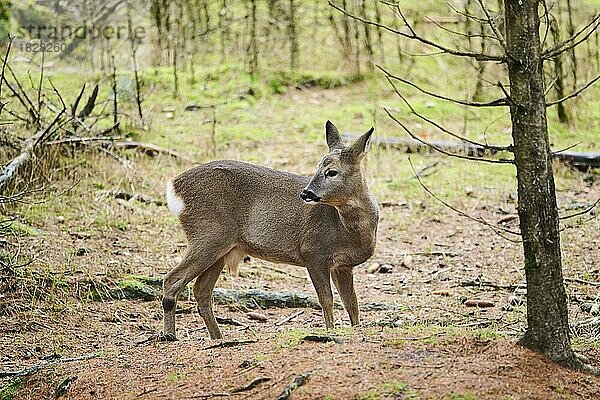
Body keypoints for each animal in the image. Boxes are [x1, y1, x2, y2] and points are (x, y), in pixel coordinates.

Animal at [163, 120, 380, 340]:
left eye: (332, 172)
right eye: (317, 167)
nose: (306, 193)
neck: (348, 231)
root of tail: (174, 186)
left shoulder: (343, 265)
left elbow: (352, 303)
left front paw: (356, 329)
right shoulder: (314, 252)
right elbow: (327, 300)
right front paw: (330, 332)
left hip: (222, 247)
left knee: (201, 290)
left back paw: (218, 337)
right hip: (208, 234)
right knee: (172, 280)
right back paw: (170, 336)